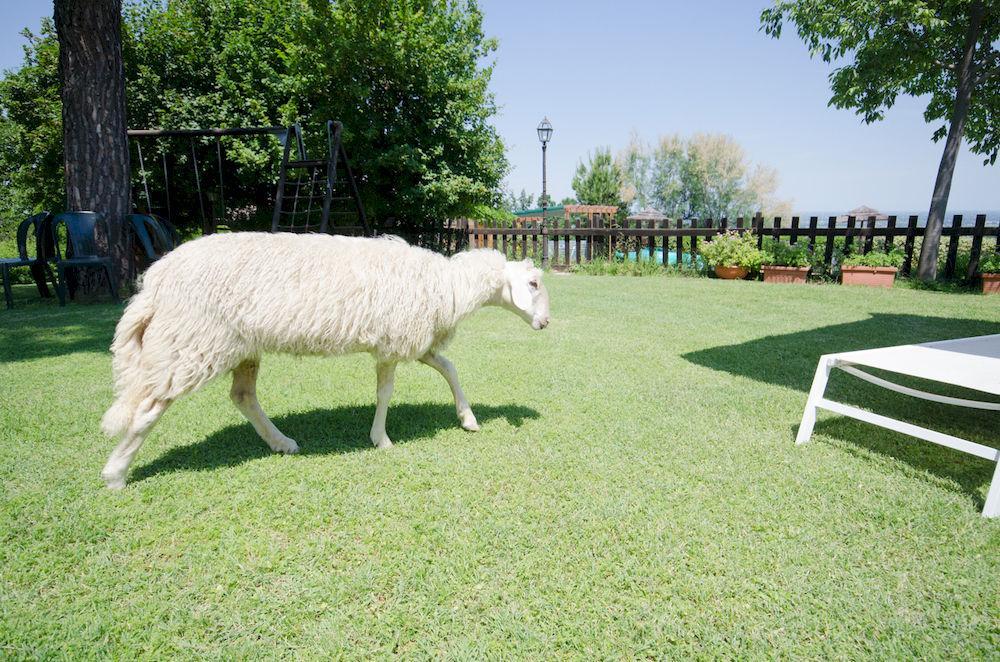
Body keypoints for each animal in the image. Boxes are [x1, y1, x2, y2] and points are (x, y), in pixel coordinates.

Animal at [98, 232, 552, 488]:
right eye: (531, 283)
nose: (546, 323)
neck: (448, 286)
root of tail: (155, 281)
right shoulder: (394, 340)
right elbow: (386, 392)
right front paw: (381, 439)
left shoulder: (413, 340)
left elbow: (449, 369)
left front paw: (468, 419)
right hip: (193, 341)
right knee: (148, 408)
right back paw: (116, 475)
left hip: (236, 345)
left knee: (243, 396)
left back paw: (281, 442)